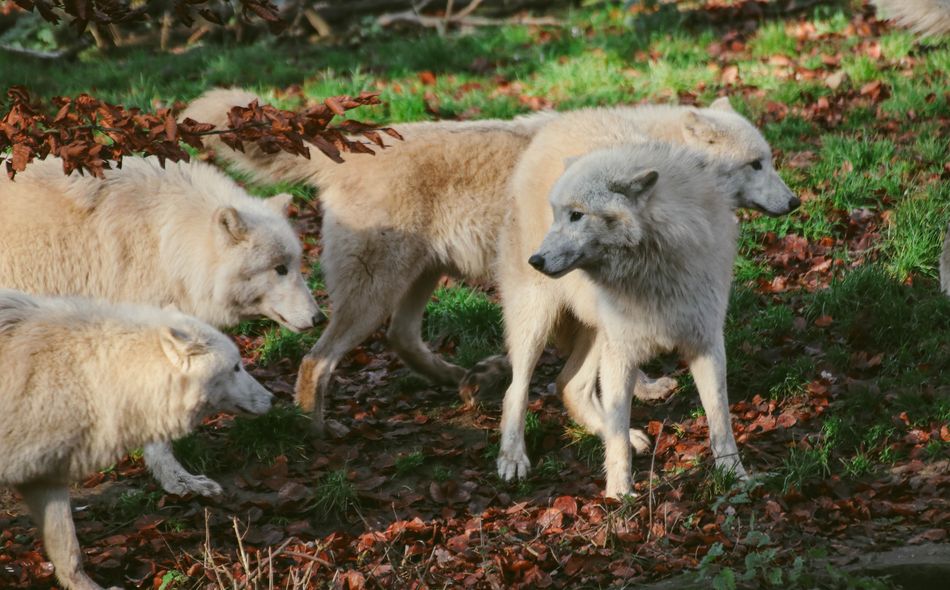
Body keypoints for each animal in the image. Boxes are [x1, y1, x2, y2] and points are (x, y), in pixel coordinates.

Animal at [184, 88, 797, 436]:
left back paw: (466, 378)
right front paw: (636, 394)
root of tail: (354, 150)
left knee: (401, 340)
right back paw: (317, 433)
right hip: (375, 294)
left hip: (421, 279)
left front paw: (639, 388)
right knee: (317, 361)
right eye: (756, 164)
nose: (794, 203)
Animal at [496, 134, 752, 497]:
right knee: (515, 390)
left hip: (598, 334)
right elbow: (617, 425)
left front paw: (734, 475)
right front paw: (620, 493)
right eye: (556, 215)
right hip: (537, 324)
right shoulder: (622, 355)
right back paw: (512, 458)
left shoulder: (706, 343)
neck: (653, 269)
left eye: (577, 215)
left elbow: (720, 418)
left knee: (570, 385)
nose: (537, 260)